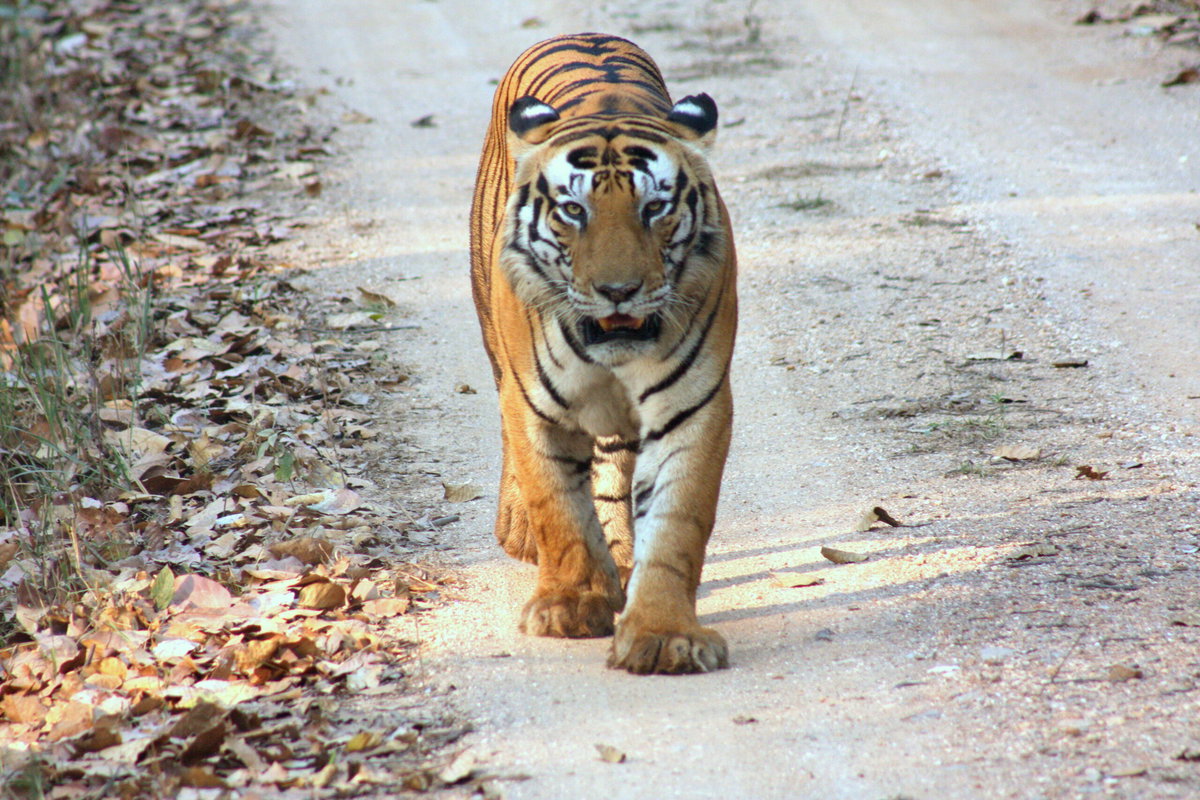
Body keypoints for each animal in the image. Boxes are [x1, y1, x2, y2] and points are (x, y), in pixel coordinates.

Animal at [468, 32, 737, 674]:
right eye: (574, 210)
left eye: (654, 208)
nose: (619, 291)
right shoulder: (534, 406)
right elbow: (557, 506)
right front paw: (571, 603)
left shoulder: (693, 405)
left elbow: (675, 521)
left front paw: (663, 634)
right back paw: (519, 533)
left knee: (613, 469)